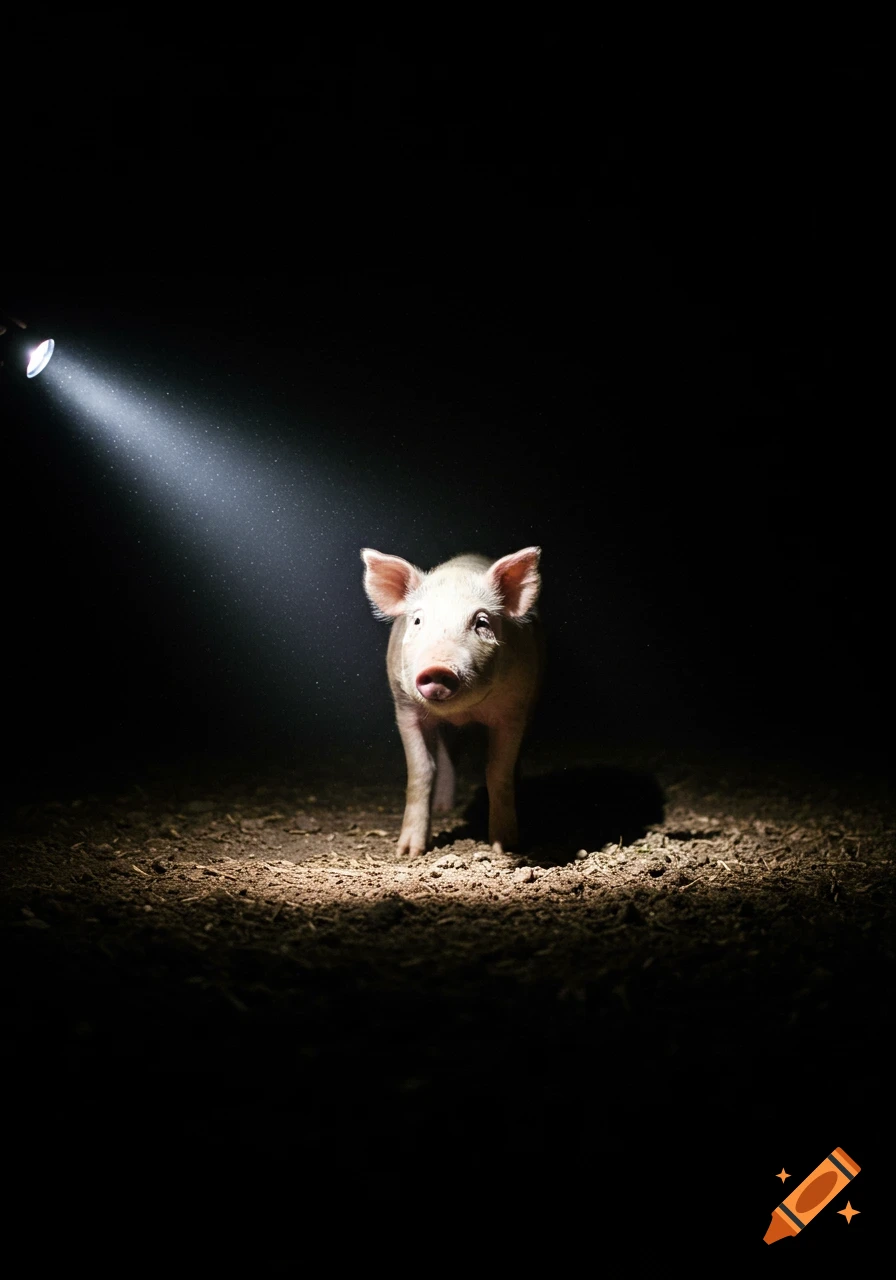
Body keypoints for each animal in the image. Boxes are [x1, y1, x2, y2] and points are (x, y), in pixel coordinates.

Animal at [361, 545, 544, 858]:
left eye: (481, 622)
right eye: (417, 621)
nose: (439, 667)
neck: (465, 713)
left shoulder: (514, 709)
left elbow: (497, 770)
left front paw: (505, 846)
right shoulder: (405, 708)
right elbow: (421, 770)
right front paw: (408, 852)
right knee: (447, 754)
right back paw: (443, 808)